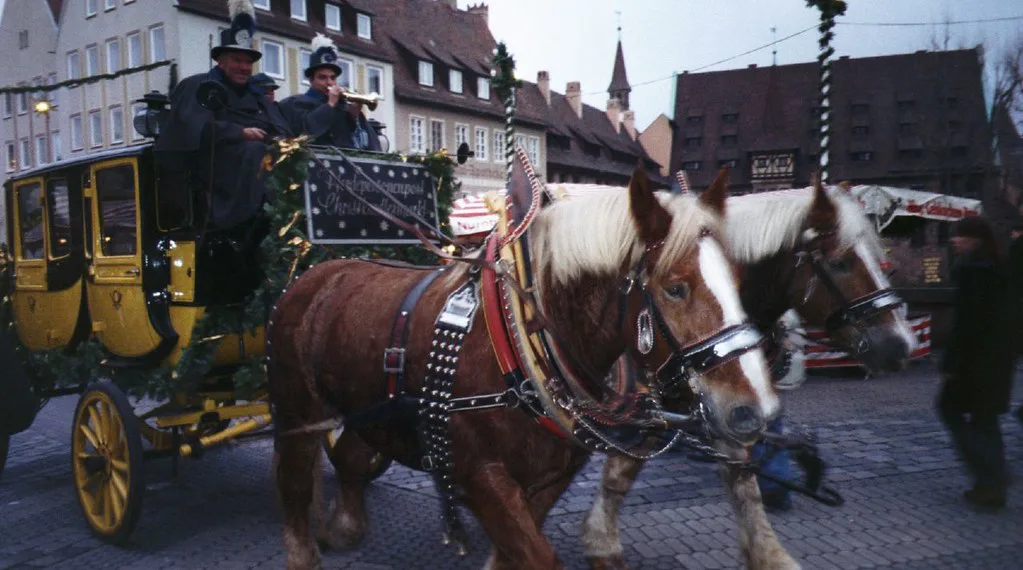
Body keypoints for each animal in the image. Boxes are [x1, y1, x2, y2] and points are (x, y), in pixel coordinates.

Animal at [267, 168, 781, 570]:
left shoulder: (551, 477)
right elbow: (537, 556)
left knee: (351, 455)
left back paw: (344, 525)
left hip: (363, 405)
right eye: (675, 288)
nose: (754, 410)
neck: (522, 337)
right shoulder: (479, 477)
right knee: (293, 484)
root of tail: (314, 273)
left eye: (739, 279)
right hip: (297, 413)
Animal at [580, 177, 918, 570]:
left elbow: (743, 481)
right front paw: (601, 539)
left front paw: (769, 552)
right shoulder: (656, 412)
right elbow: (621, 471)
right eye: (840, 263)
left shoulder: (729, 408)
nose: (901, 343)